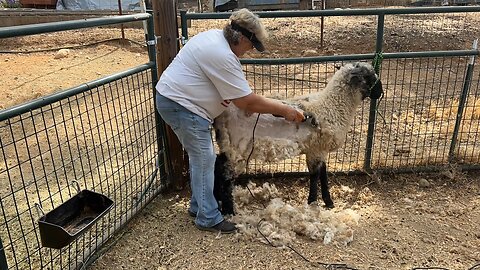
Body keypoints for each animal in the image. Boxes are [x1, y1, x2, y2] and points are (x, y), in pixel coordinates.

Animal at [213, 61, 382, 215]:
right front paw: (313, 201)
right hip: (236, 147)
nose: (380, 92)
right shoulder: (316, 150)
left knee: (217, 164)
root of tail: (222, 115)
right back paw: (229, 211)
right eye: (369, 77)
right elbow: (315, 175)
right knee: (226, 175)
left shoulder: (318, 150)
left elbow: (323, 173)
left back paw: (217, 199)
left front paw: (328, 201)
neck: (332, 106)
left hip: (227, 145)